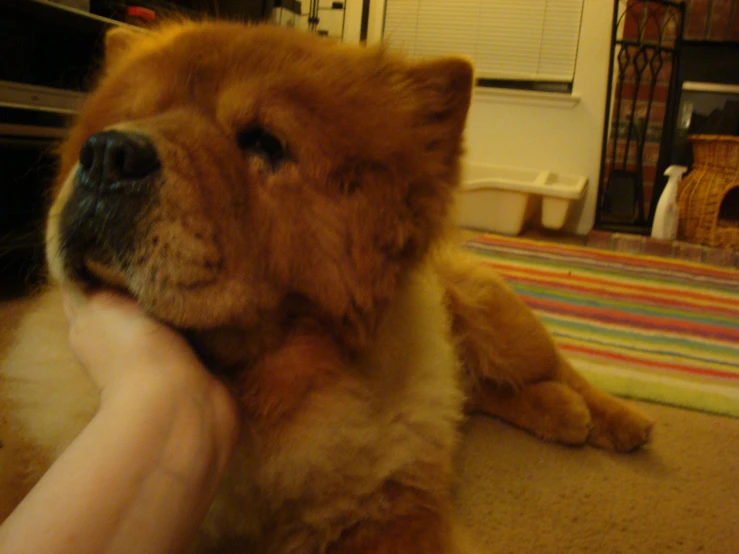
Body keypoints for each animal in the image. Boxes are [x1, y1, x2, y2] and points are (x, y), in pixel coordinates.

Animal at [2, 20, 656, 552]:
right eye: (121, 120)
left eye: (264, 143)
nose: (108, 153)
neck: (263, 399)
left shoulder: (396, 512)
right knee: (490, 392)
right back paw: (564, 415)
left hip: (500, 326)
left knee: (557, 367)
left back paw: (620, 420)